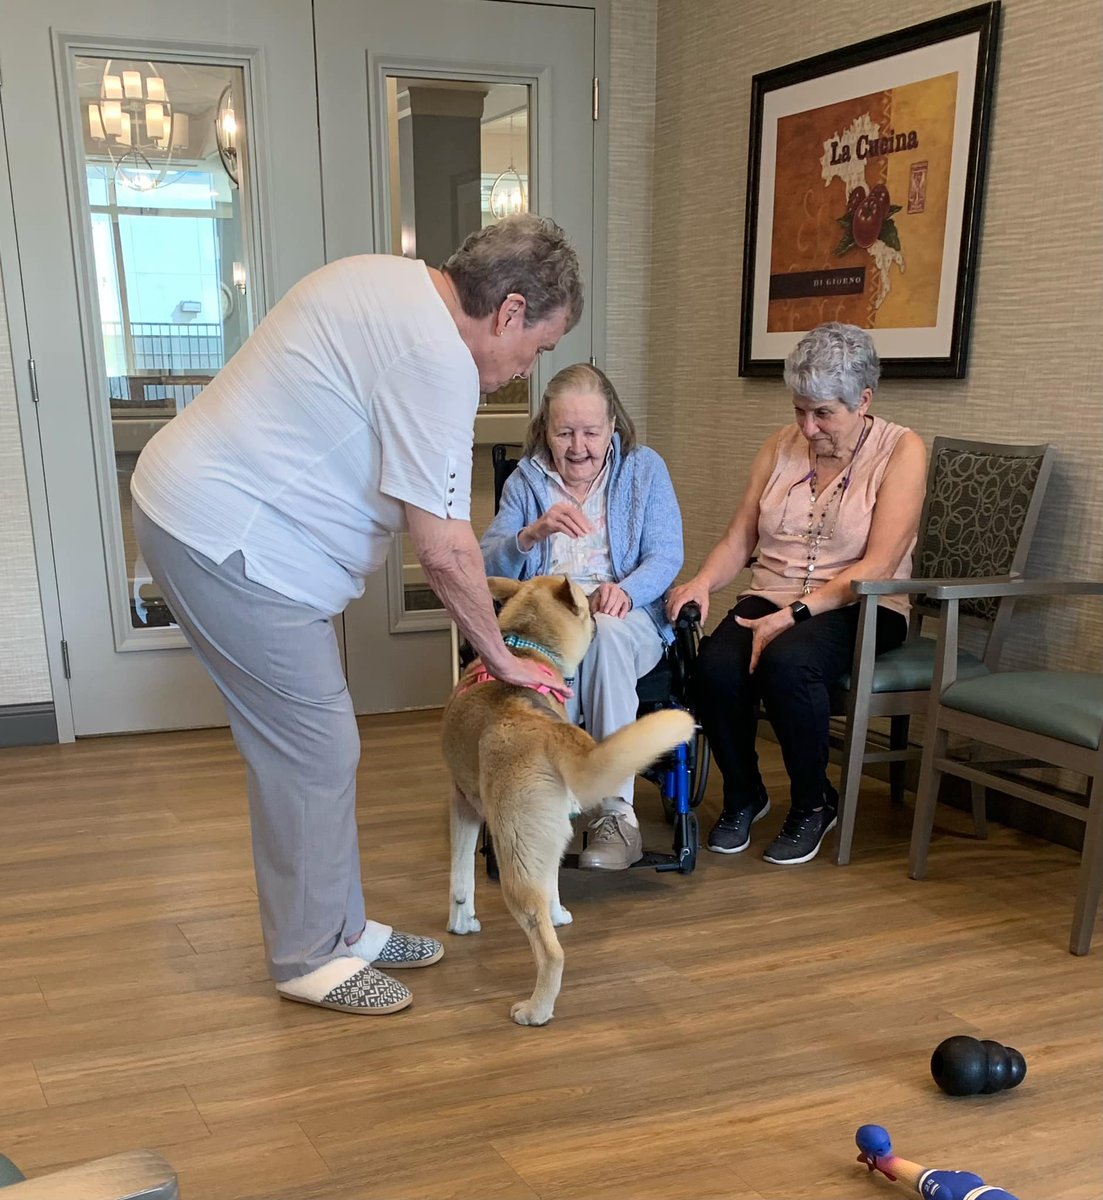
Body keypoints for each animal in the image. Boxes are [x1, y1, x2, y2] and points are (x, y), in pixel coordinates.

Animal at [444, 576, 696, 1027]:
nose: (599, 612)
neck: (524, 648)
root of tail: (544, 730)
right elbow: (553, 885)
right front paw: (559, 913)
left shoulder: (463, 803)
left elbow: (460, 878)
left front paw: (461, 921)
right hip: (534, 841)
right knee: (547, 889)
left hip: (514, 857)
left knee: (551, 952)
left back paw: (536, 1009)